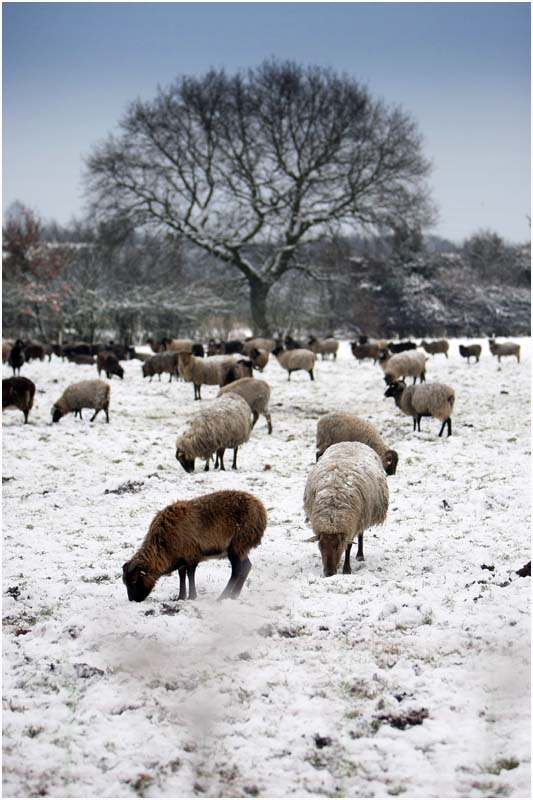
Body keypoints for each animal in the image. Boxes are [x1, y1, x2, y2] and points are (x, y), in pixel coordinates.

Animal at [122, 490, 267, 602]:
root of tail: (261, 512)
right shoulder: (181, 559)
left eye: (134, 581)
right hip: (241, 547)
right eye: (125, 582)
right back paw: (234, 596)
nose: (133, 600)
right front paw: (180, 597)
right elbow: (182, 575)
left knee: (237, 570)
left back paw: (222, 597)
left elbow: (190, 574)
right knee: (247, 566)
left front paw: (192, 597)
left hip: (237, 544)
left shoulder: (191, 555)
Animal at [303, 441, 389, 577]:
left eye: (339, 546)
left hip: (362, 516)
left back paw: (360, 555)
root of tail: (352, 442)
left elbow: (348, 547)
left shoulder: (350, 526)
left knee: (361, 533)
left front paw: (346, 569)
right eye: (320, 547)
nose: (329, 573)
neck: (332, 515)